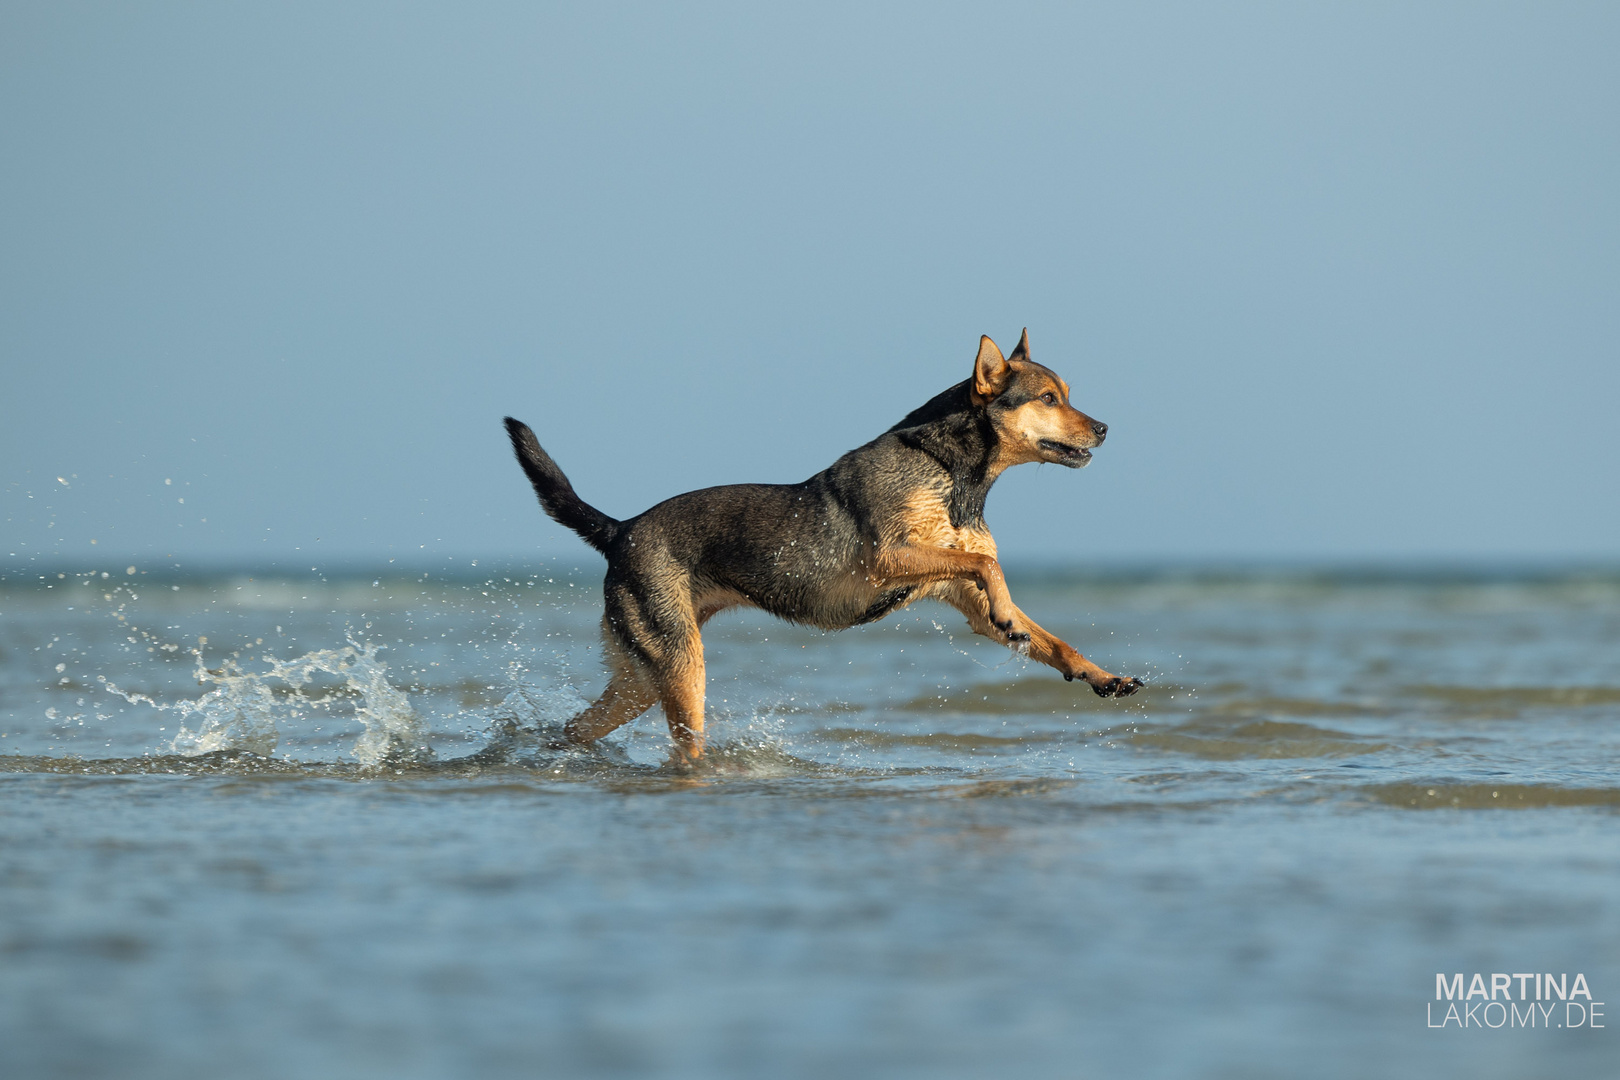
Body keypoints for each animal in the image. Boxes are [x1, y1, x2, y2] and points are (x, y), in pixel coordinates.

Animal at [502, 330, 1140, 761]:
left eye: (1067, 394)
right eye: (1049, 399)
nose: (1106, 429)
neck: (952, 473)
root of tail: (621, 529)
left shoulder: (958, 592)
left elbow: (1048, 636)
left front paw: (1100, 675)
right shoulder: (889, 556)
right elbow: (987, 562)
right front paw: (1010, 611)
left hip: (641, 675)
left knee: (575, 728)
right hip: (680, 666)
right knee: (681, 741)